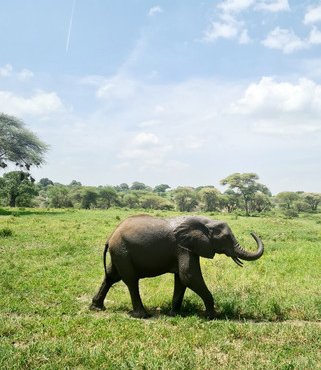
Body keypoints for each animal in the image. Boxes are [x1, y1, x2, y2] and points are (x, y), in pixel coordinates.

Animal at [89, 215, 262, 320]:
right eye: (225, 238)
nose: (252, 232)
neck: (205, 222)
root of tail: (110, 236)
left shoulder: (187, 247)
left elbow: (181, 278)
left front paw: (175, 314)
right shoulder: (183, 247)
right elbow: (189, 276)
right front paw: (212, 316)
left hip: (119, 252)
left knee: (111, 276)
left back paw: (96, 308)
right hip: (122, 250)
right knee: (131, 280)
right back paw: (142, 315)